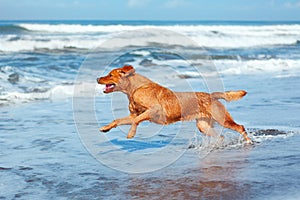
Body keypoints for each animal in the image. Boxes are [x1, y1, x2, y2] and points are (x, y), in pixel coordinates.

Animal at [97, 65, 252, 145]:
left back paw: (249, 141)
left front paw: (131, 133)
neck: (135, 88)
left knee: (240, 127)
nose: (98, 78)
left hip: (222, 119)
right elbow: (118, 120)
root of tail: (212, 95)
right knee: (220, 136)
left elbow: (136, 121)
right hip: (203, 126)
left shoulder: (154, 110)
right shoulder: (133, 114)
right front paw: (105, 128)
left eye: (110, 75)